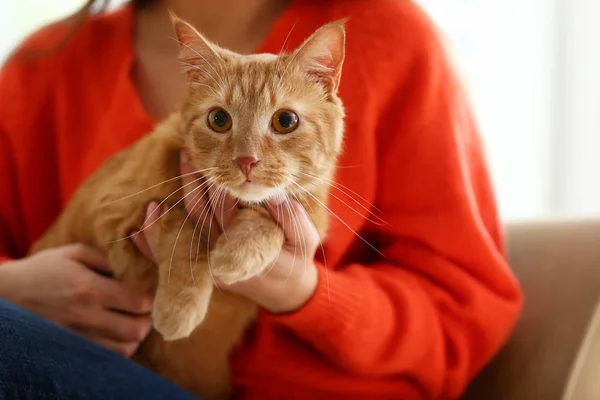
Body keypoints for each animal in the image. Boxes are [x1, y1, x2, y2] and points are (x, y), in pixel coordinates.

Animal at [29, 14, 346, 400]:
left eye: (285, 121)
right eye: (219, 119)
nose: (247, 161)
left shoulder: (311, 214)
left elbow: (270, 218)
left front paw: (236, 254)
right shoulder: (116, 215)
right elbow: (185, 230)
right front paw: (180, 309)